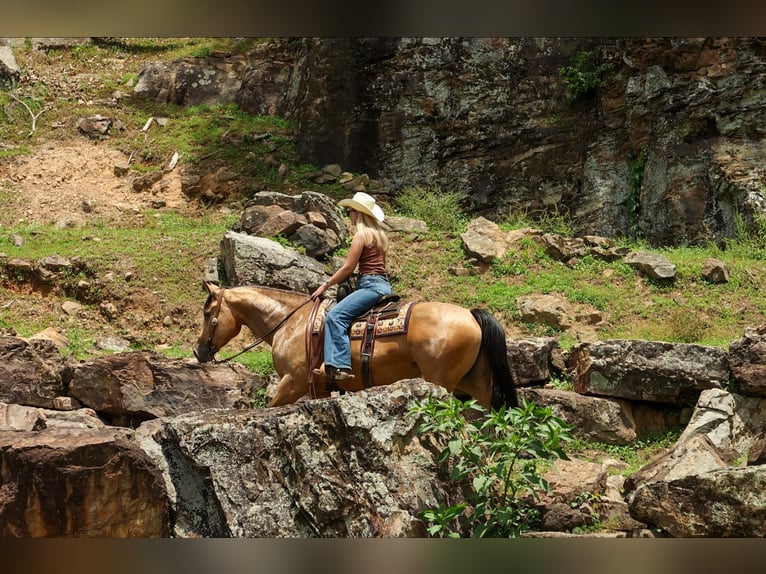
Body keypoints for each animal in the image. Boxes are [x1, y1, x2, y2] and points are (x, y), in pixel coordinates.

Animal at [193, 281, 518, 410]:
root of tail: (471, 315)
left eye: (208, 313)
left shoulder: (293, 381)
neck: (291, 322)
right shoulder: (319, 388)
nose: (199, 351)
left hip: (442, 382)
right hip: (475, 383)